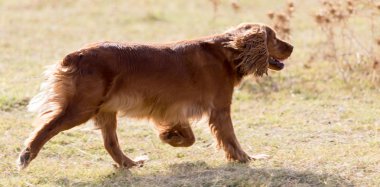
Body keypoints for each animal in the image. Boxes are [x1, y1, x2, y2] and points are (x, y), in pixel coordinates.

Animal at [18, 22, 294, 169]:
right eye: (273, 37)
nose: (291, 46)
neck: (228, 52)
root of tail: (76, 55)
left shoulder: (175, 108)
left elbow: (189, 136)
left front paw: (170, 136)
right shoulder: (220, 109)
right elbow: (231, 140)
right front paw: (248, 158)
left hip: (105, 110)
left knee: (111, 143)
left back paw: (129, 163)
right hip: (81, 108)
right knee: (45, 128)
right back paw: (26, 156)